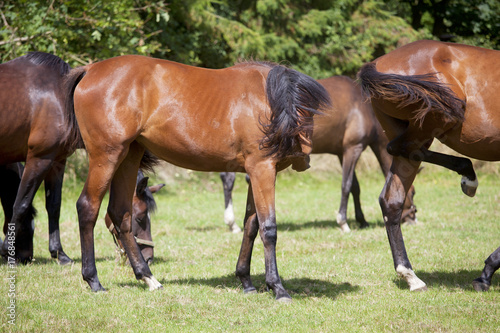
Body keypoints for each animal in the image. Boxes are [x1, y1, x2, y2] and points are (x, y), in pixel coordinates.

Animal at [0, 52, 79, 264]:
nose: (26, 257)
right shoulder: (39, 159)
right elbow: (20, 203)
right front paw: (5, 248)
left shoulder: (57, 161)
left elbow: (54, 206)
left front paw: (60, 254)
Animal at [65, 55, 332, 300]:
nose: (304, 158)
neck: (269, 101)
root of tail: (90, 70)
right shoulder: (262, 169)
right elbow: (268, 228)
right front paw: (277, 287)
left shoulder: (255, 172)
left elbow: (250, 226)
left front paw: (246, 280)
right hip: (106, 156)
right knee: (88, 207)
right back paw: (93, 280)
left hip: (129, 156)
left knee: (120, 213)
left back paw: (148, 277)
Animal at [220, 76, 418, 231]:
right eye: (413, 193)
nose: (413, 217)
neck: (363, 108)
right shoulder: (353, 148)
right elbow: (346, 185)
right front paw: (343, 222)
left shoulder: (342, 153)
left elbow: (355, 186)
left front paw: (362, 221)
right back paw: (233, 223)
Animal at [358, 39, 500, 290]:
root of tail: (376, 63)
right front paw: (485, 274)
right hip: (439, 117)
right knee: (402, 148)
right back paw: (468, 175)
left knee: (392, 199)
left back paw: (410, 276)